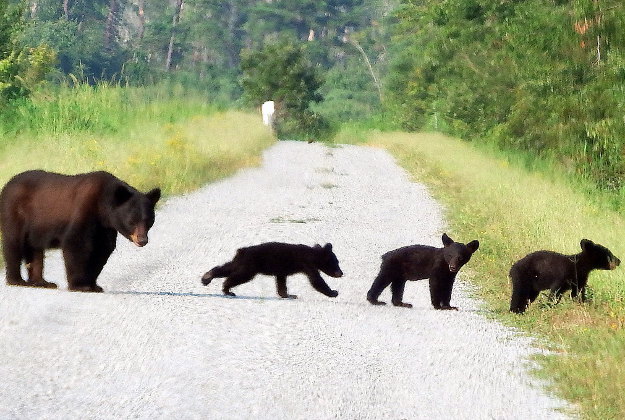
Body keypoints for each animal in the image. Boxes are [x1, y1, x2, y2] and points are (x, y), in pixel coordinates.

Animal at [0, 170, 161, 292]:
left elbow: (102, 250)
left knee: (34, 249)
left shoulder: (104, 228)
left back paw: (41, 282)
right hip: (15, 214)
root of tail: (7, 185)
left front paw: (94, 285)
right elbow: (76, 244)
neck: (102, 207)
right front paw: (80, 285)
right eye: (132, 221)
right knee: (13, 244)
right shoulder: (85, 211)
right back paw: (16, 280)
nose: (142, 240)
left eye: (149, 221)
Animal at [201, 243, 344, 298]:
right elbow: (316, 281)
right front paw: (333, 292)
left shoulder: (282, 271)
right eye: (336, 263)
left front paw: (287, 295)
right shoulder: (307, 264)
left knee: (228, 268)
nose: (341, 273)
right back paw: (227, 289)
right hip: (250, 266)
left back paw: (207, 277)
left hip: (241, 262)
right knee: (239, 275)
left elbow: (281, 281)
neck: (314, 254)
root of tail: (242, 250)